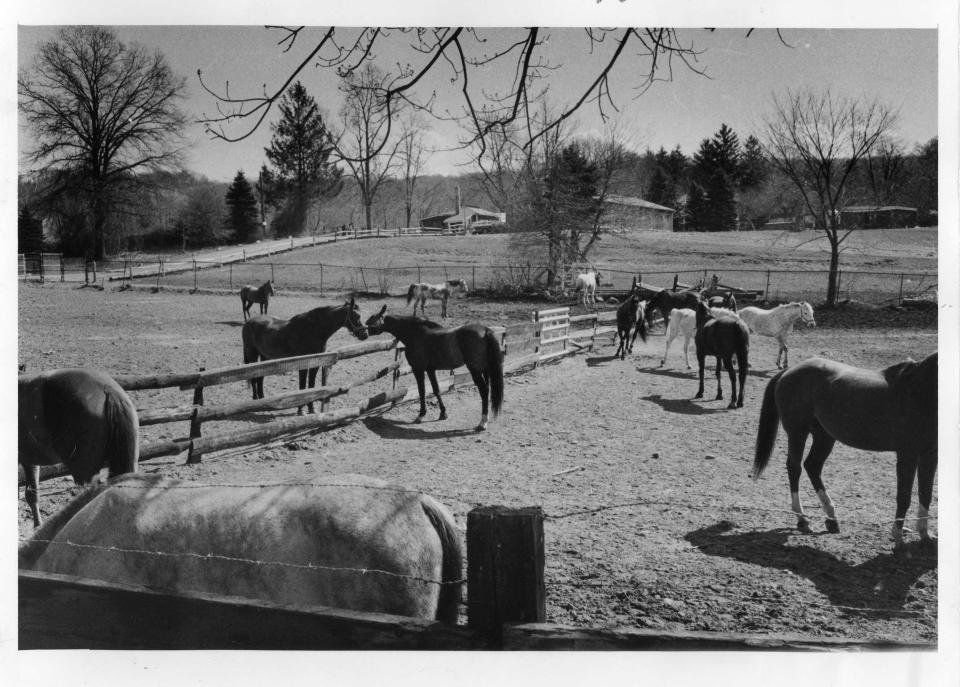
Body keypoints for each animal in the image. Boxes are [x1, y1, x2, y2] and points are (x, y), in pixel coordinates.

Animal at [242, 296, 370, 414]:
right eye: (357, 316)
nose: (365, 334)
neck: (312, 330)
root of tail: (248, 322)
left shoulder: (316, 364)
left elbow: (311, 386)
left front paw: (311, 409)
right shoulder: (303, 363)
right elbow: (303, 387)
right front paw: (300, 410)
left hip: (265, 356)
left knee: (260, 378)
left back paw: (262, 400)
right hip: (252, 354)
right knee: (253, 377)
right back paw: (255, 401)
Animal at [366, 306, 502, 430]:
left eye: (372, 320)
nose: (362, 333)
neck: (415, 334)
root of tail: (485, 330)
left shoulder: (418, 369)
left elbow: (422, 391)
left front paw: (421, 415)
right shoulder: (430, 370)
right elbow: (436, 389)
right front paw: (443, 413)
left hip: (475, 370)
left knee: (483, 391)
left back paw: (482, 422)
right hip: (485, 370)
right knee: (487, 390)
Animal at [752, 354, 936, 548]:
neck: (919, 389)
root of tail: (788, 371)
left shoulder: (930, 454)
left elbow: (926, 493)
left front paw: (925, 534)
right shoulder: (907, 454)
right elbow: (904, 496)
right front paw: (899, 538)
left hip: (824, 437)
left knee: (812, 466)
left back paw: (831, 518)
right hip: (797, 433)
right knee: (795, 468)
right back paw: (802, 520)